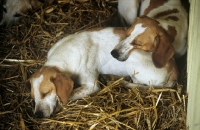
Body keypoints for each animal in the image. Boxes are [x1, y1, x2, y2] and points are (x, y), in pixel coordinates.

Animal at [25, 16, 178, 118]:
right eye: (33, 98)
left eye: (46, 93)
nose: (37, 115)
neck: (60, 58)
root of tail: (174, 70)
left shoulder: (91, 86)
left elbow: (69, 95)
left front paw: (59, 105)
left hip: (133, 56)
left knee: (139, 84)